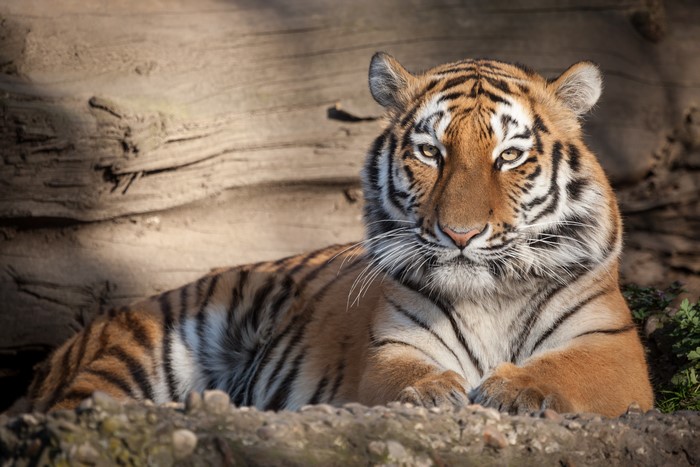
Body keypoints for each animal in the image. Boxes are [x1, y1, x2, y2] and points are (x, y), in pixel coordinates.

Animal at [23, 53, 653, 417]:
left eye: (510, 157)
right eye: (431, 152)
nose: (460, 233)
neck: (488, 296)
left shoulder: (612, 349)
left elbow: (564, 371)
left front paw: (510, 390)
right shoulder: (392, 348)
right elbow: (406, 377)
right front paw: (434, 393)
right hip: (139, 347)